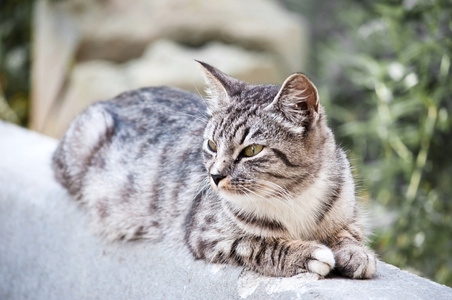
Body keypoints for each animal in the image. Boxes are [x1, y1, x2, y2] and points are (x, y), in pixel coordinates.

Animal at [52, 61, 378, 278]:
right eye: (211, 145)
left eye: (251, 150)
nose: (215, 176)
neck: (295, 197)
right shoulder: (205, 233)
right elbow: (257, 244)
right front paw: (306, 253)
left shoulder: (349, 213)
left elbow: (347, 233)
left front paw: (357, 253)